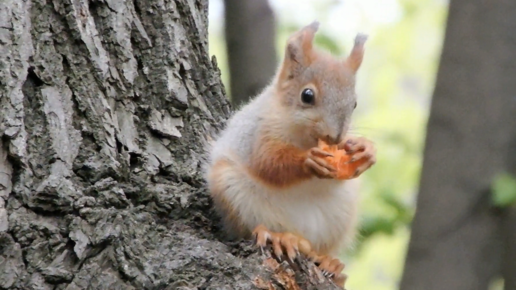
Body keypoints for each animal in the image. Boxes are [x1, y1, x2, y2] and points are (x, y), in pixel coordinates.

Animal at [204, 21, 376, 286]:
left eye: (354, 104)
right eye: (307, 95)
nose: (335, 137)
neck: (305, 139)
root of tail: (300, 233)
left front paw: (366, 150)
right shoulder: (258, 133)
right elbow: (269, 162)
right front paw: (308, 161)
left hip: (341, 214)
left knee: (318, 249)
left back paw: (329, 262)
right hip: (233, 191)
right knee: (255, 229)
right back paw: (277, 237)